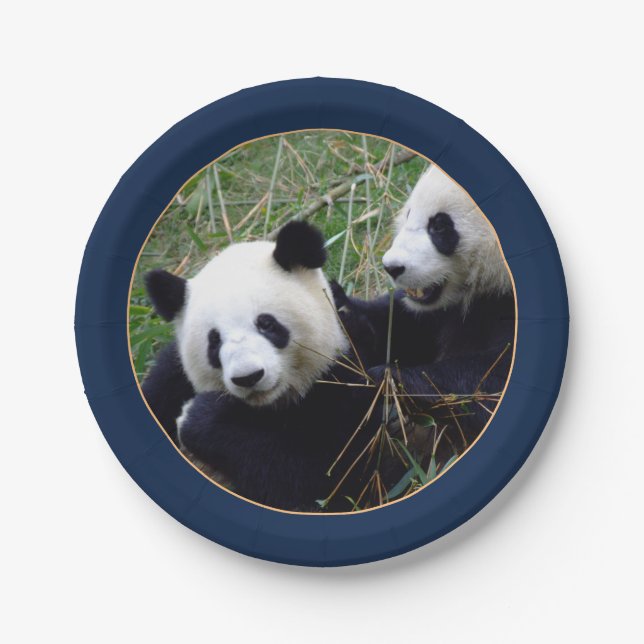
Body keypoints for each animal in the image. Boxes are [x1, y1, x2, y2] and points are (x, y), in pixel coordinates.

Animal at [141, 222, 386, 511]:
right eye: (214, 341)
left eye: (266, 324)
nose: (248, 377)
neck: (270, 407)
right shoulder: (171, 378)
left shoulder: (346, 379)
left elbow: (321, 480)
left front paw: (199, 415)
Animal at [334, 165, 515, 463]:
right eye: (409, 213)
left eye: (440, 226)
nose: (392, 267)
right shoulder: (437, 313)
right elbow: (402, 329)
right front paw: (344, 311)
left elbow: (489, 383)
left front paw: (390, 378)